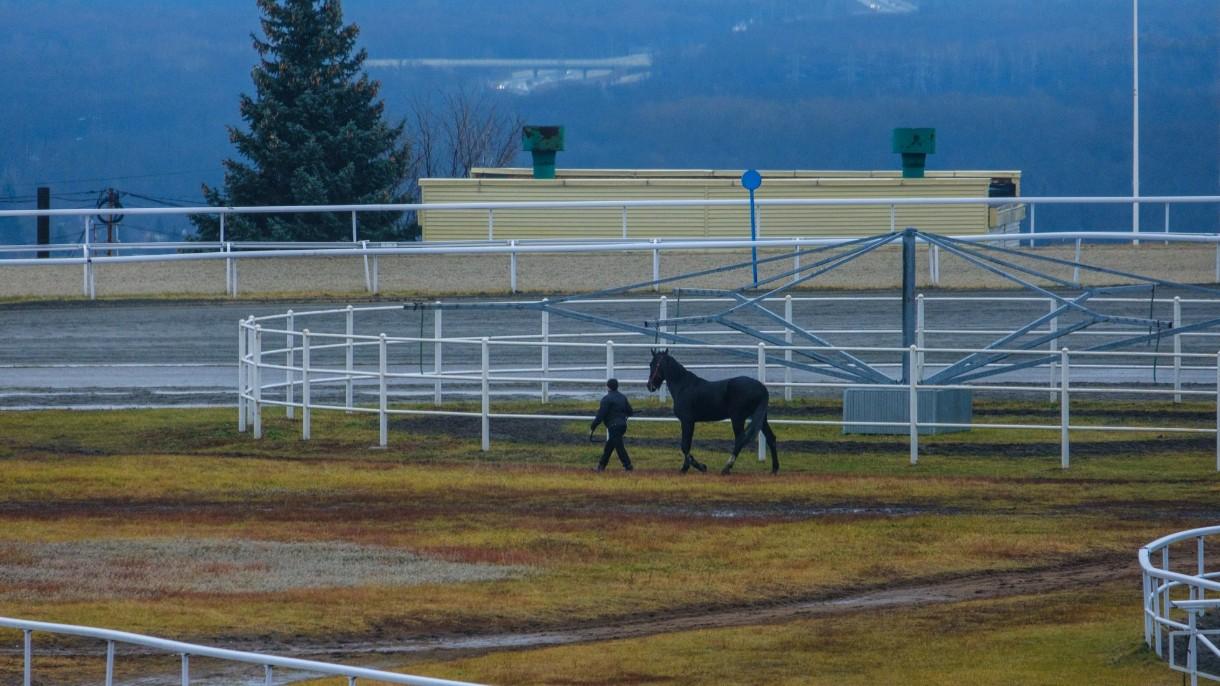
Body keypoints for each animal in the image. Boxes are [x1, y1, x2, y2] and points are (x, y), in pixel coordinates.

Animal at [644, 349, 775, 473]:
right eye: (651, 364)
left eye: (655, 364)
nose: (650, 386)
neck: (683, 386)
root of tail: (762, 388)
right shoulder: (689, 422)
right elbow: (686, 445)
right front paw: (691, 467)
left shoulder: (687, 421)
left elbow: (685, 446)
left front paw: (695, 467)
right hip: (760, 418)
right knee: (770, 438)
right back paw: (774, 469)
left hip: (738, 418)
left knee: (740, 439)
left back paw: (726, 468)